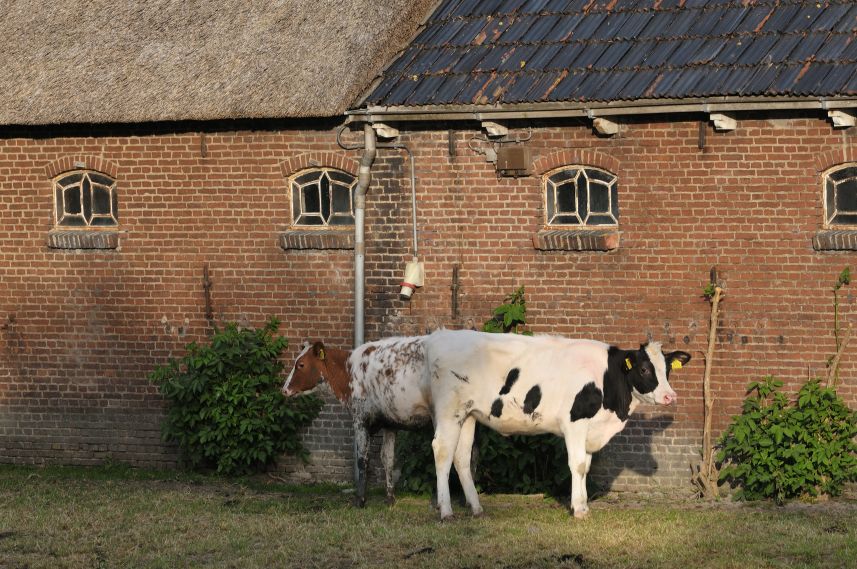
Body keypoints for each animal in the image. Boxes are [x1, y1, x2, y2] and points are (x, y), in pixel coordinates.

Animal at [284, 336, 478, 504]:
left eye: (300, 364)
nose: (284, 389)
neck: (349, 372)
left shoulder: (360, 419)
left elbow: (363, 459)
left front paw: (360, 500)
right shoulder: (389, 423)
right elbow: (388, 458)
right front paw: (390, 498)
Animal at [422, 328, 688, 520]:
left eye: (667, 370)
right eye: (643, 369)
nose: (670, 396)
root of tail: (439, 336)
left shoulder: (590, 429)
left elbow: (586, 467)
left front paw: (583, 506)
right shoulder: (575, 422)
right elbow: (577, 465)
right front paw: (578, 509)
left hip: (467, 416)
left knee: (461, 457)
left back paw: (476, 508)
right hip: (449, 413)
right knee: (442, 452)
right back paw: (446, 511)